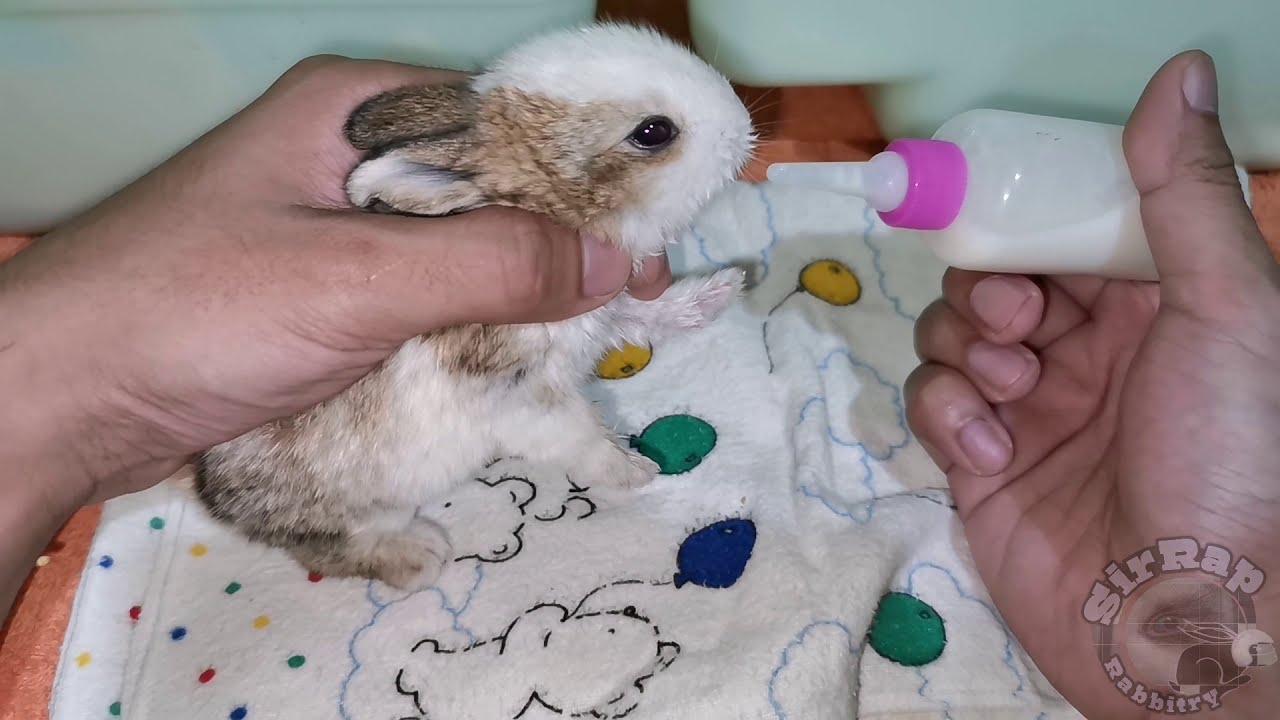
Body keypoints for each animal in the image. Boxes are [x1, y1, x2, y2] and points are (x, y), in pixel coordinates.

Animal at [192, 22, 756, 589]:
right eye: (653, 132)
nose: (743, 124)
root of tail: (214, 499)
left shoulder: (601, 314)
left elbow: (641, 315)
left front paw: (717, 293)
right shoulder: (517, 394)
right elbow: (576, 435)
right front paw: (633, 470)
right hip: (361, 511)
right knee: (332, 552)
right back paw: (419, 558)